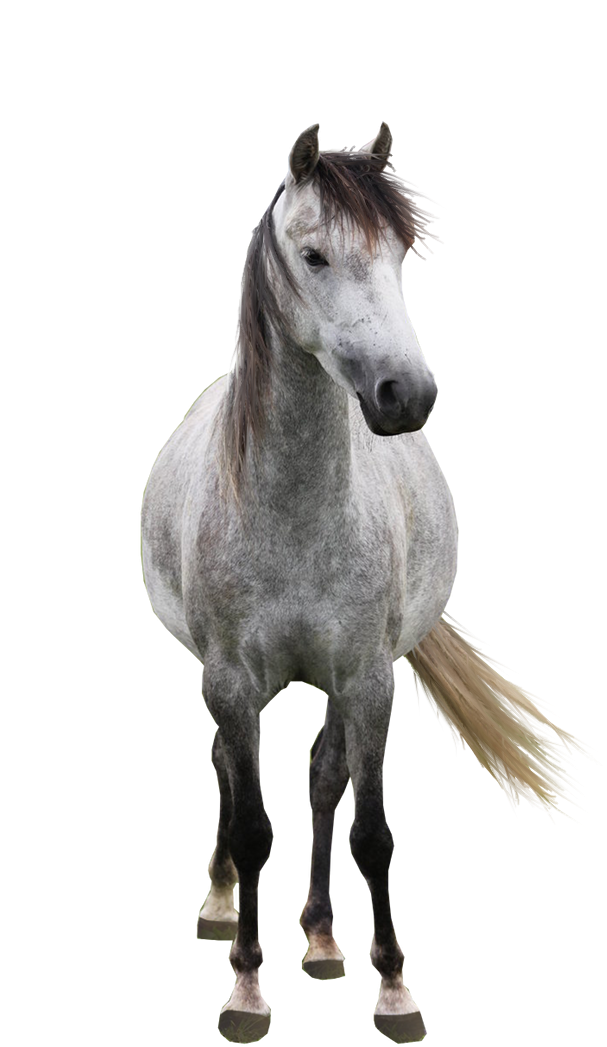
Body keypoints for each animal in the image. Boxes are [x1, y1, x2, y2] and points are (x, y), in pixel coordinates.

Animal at [140, 122, 602, 1044]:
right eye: (314, 256)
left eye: (396, 258)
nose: (406, 394)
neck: (295, 512)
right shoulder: (230, 680)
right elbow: (252, 824)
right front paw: (246, 988)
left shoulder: (365, 678)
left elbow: (371, 827)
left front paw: (392, 988)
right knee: (225, 774)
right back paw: (222, 905)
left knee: (323, 779)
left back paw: (321, 940)